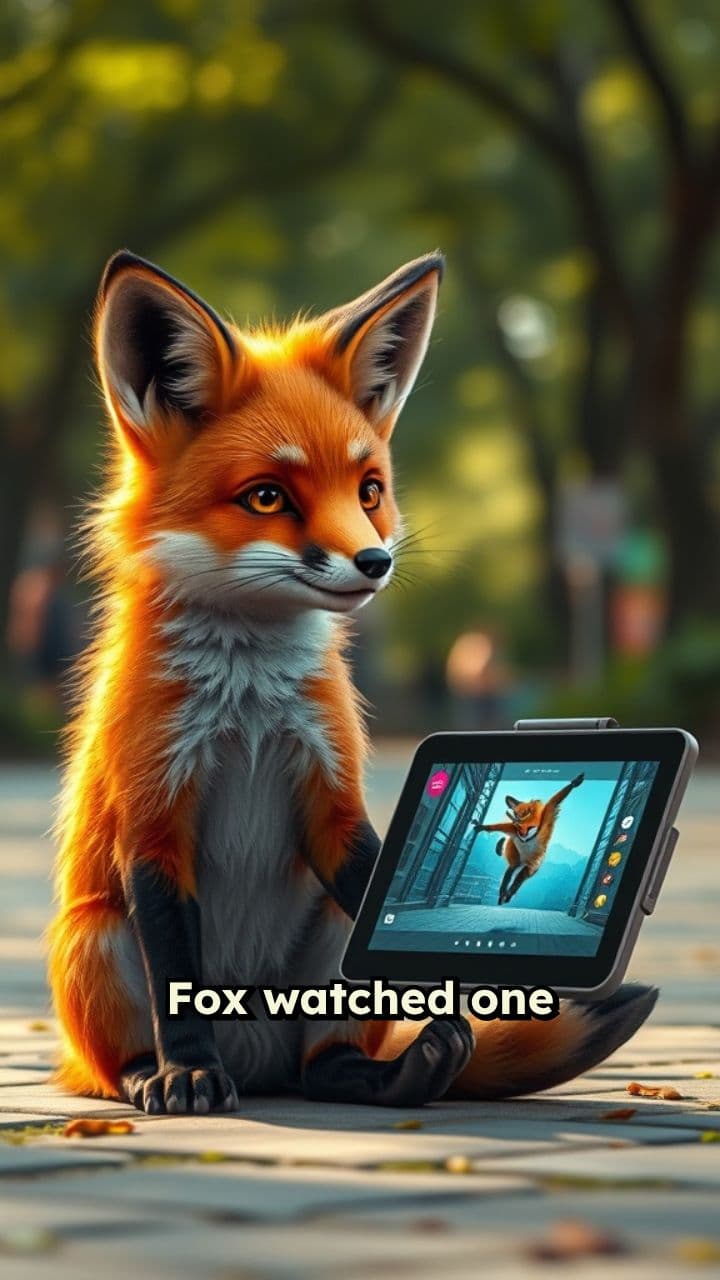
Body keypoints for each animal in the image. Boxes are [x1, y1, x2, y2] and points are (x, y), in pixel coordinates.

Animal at [473, 774, 585, 905]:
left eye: (527, 813)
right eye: (516, 815)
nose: (521, 830)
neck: (527, 839)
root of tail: (523, 862)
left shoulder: (546, 819)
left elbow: (554, 801)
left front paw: (575, 782)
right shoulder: (512, 829)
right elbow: (496, 827)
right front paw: (481, 827)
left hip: (530, 867)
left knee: (519, 879)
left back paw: (508, 895)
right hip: (516, 860)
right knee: (510, 871)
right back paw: (502, 896)